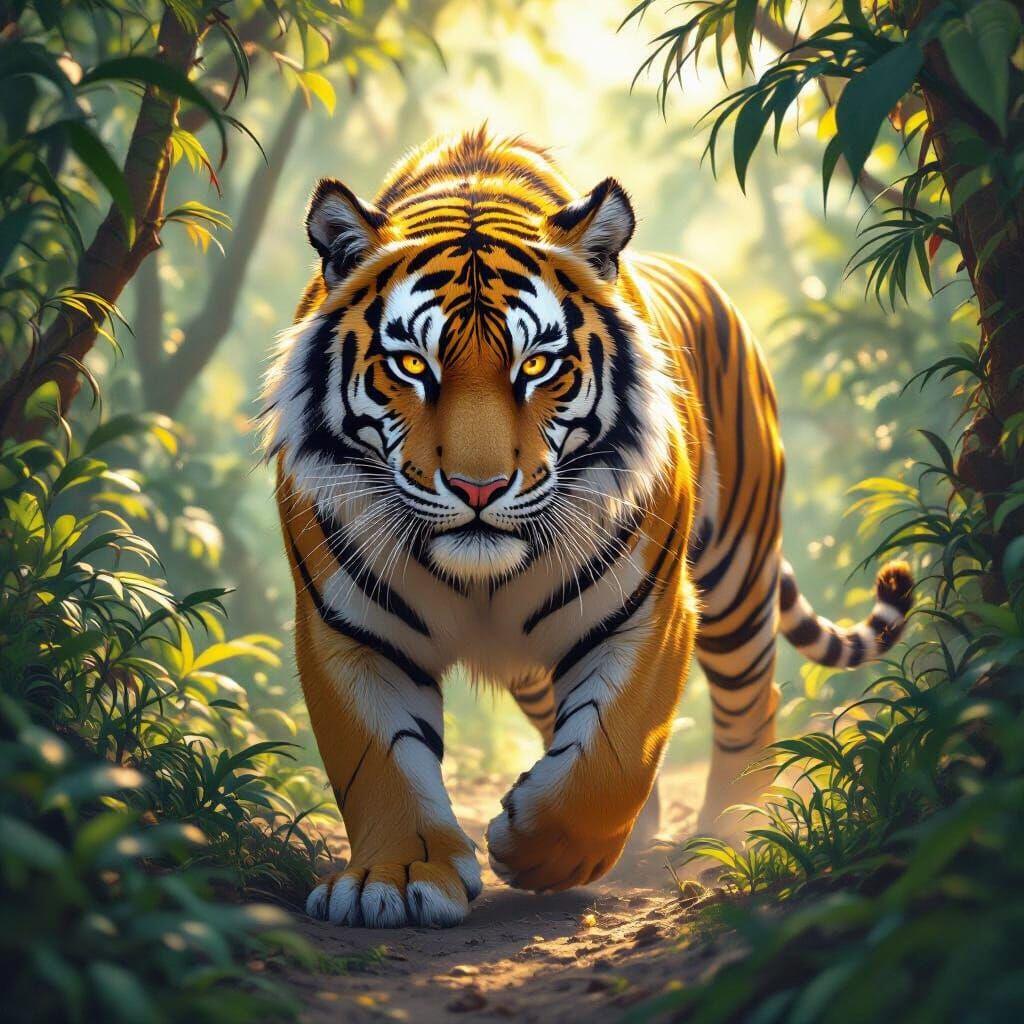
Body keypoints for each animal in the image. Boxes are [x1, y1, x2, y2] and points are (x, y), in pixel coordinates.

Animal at [261, 128, 914, 929]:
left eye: (538, 366)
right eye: (412, 364)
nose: (478, 488)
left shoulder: (649, 611)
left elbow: (611, 751)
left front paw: (544, 853)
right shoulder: (348, 628)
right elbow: (379, 759)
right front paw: (397, 876)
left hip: (737, 571)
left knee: (752, 701)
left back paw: (727, 836)